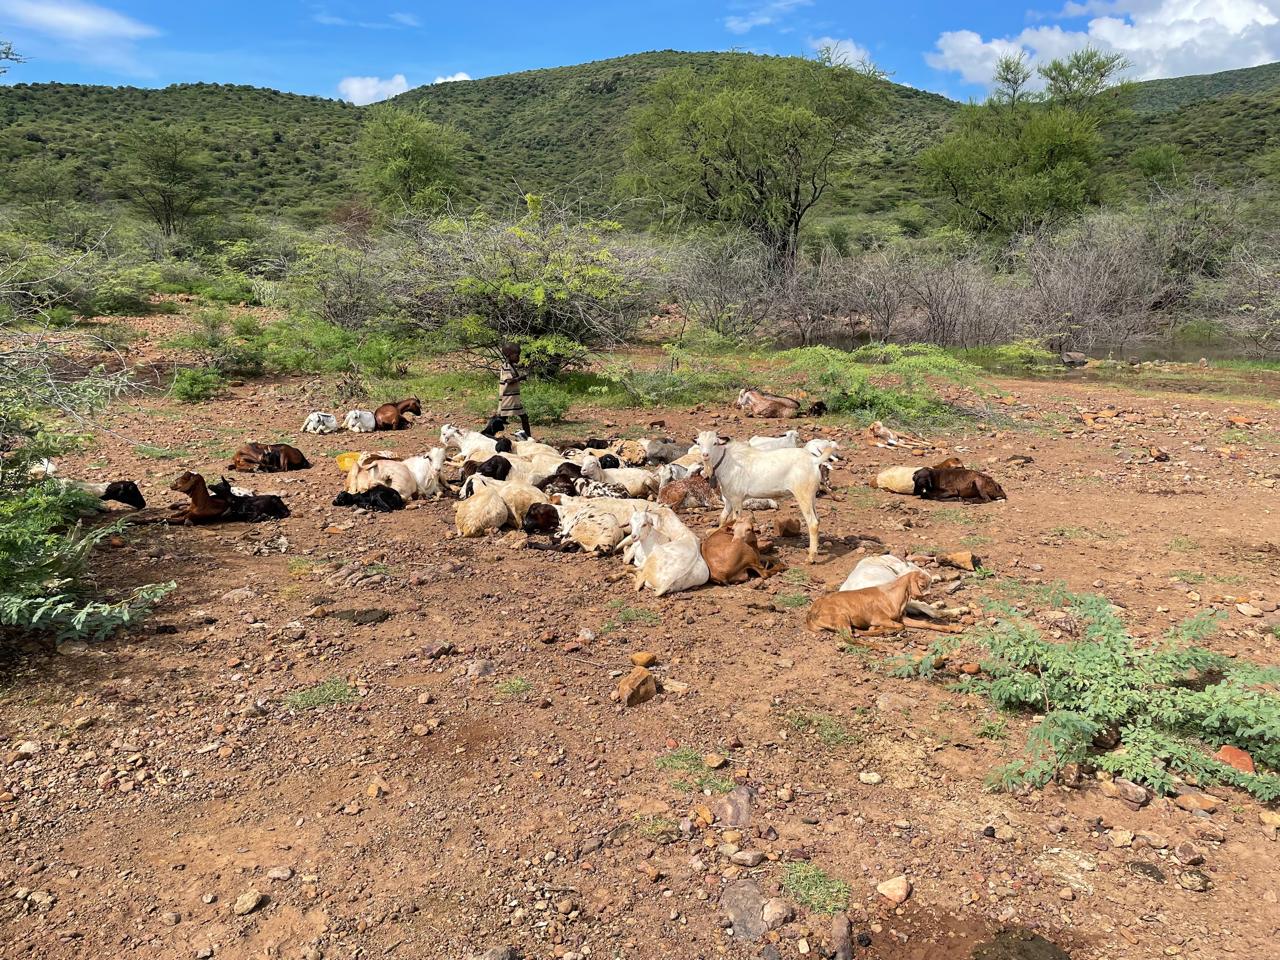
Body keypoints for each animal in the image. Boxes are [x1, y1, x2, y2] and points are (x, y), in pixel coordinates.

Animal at [696, 430, 823, 562]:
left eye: (715, 443)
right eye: (698, 443)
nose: (705, 455)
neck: (728, 462)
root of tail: (814, 461)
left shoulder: (737, 498)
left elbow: (735, 520)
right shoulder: (729, 499)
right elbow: (722, 518)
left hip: (803, 494)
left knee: (813, 523)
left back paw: (811, 557)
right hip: (811, 495)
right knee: (818, 519)